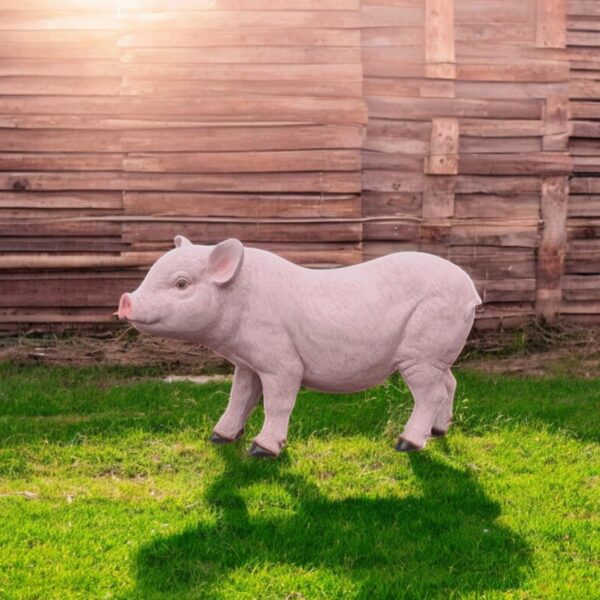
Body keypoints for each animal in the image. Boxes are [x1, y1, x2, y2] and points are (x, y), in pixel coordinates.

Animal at [119, 237, 480, 458]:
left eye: (181, 283)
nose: (125, 300)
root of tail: (471, 290)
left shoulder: (281, 362)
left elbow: (277, 404)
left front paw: (262, 451)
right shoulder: (247, 364)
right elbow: (239, 397)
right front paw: (218, 437)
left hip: (422, 352)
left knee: (431, 393)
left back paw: (407, 444)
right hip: (438, 355)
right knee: (450, 383)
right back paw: (439, 431)